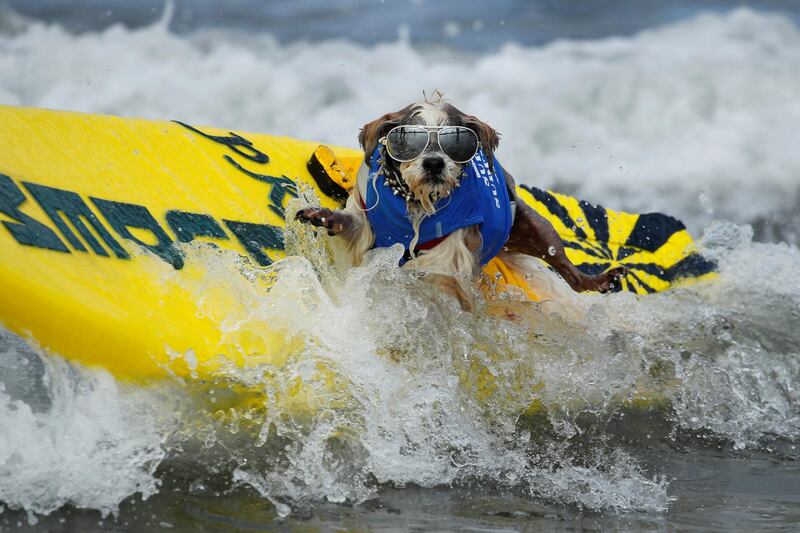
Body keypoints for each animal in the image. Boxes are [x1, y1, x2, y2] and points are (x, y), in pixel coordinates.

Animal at [296, 91, 624, 308]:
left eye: (455, 142)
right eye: (409, 140)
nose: (434, 164)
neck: (417, 205)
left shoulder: (455, 250)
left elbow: (443, 274)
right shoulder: (366, 223)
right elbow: (352, 224)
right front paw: (324, 216)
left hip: (536, 226)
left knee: (570, 273)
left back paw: (599, 280)